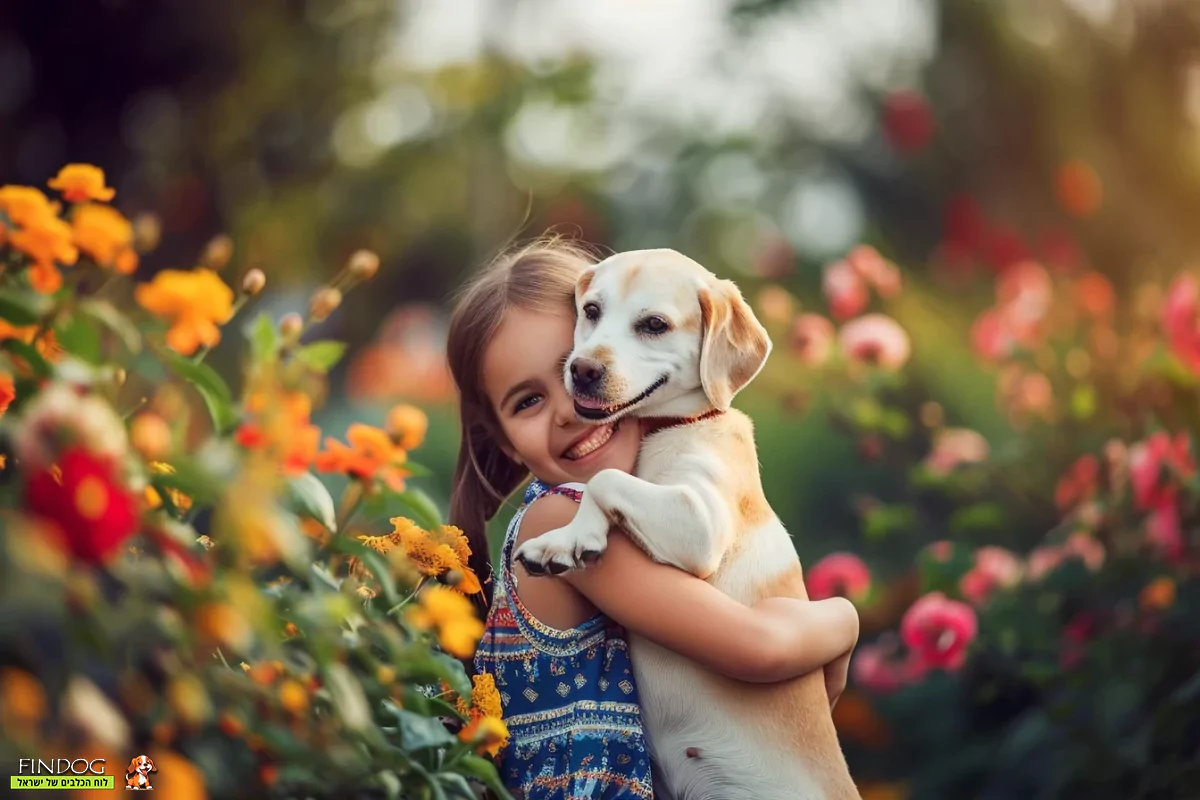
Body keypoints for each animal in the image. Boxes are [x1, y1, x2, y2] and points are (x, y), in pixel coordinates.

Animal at [516, 248, 864, 800]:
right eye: (590, 310)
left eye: (654, 325)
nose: (582, 369)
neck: (670, 429)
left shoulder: (701, 526)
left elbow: (605, 479)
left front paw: (567, 539)